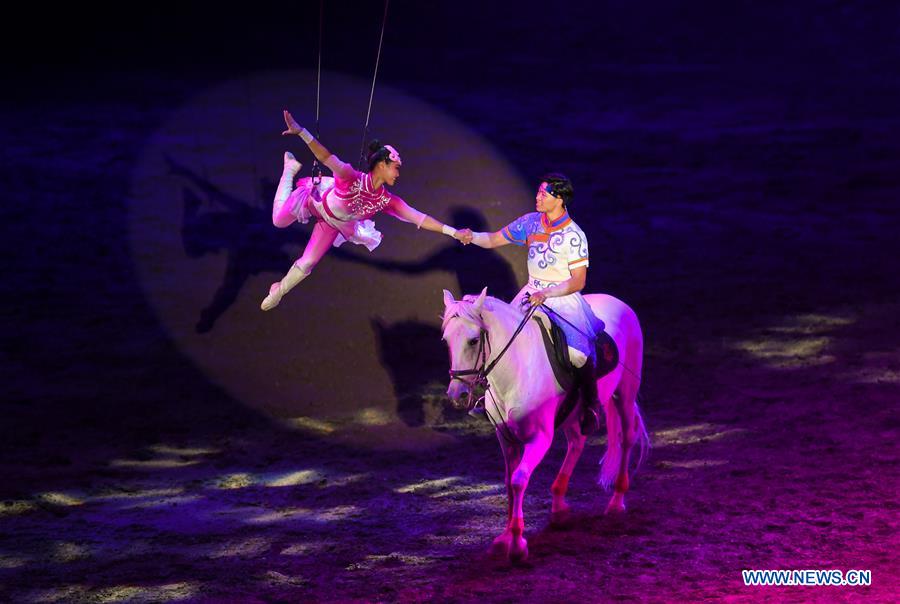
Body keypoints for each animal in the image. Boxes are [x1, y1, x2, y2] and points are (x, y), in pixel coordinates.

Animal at [442, 288, 648, 560]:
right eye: (446, 340)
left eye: (474, 340)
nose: (457, 394)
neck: (517, 371)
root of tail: (617, 301)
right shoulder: (505, 437)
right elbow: (508, 482)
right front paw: (505, 537)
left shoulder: (540, 438)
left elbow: (519, 480)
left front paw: (517, 543)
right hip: (574, 413)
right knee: (576, 443)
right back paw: (559, 507)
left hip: (625, 391)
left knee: (626, 439)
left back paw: (616, 502)